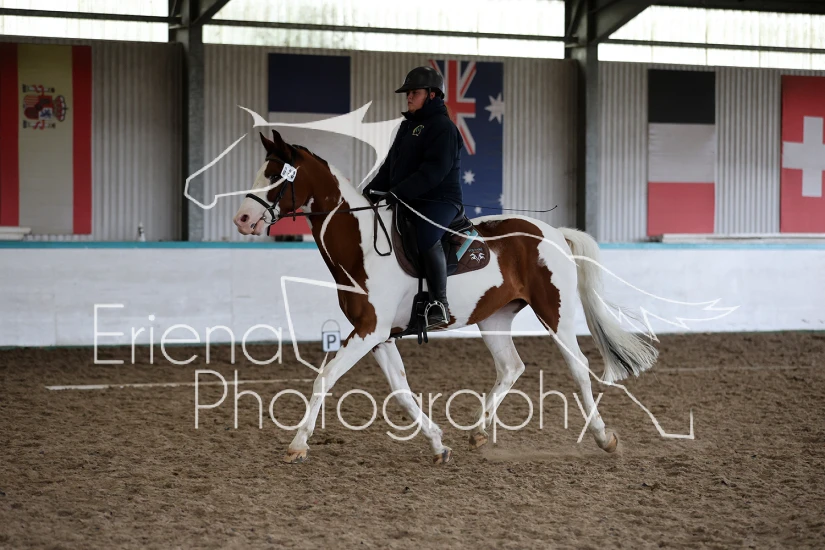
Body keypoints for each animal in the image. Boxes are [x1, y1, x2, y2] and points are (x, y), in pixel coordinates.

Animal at [233, 129, 658, 465]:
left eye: (276, 175)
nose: (242, 219)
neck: (361, 245)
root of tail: (553, 233)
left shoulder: (369, 331)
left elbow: (325, 378)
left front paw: (297, 445)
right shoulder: (379, 336)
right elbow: (401, 392)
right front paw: (438, 444)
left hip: (556, 314)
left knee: (578, 367)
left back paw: (604, 438)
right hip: (494, 317)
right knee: (511, 367)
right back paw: (479, 432)